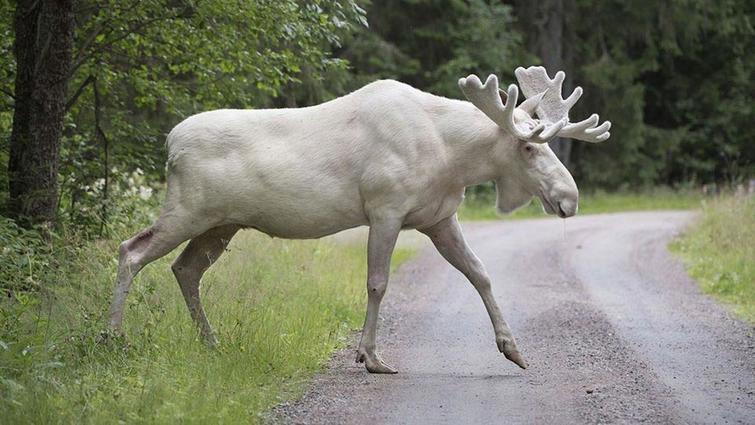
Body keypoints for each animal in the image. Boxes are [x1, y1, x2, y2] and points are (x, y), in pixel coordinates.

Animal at [109, 65, 612, 372]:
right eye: (528, 146)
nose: (569, 198)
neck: (452, 158)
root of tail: (170, 144)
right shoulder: (385, 208)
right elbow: (377, 283)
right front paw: (370, 357)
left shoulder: (439, 218)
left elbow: (481, 274)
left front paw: (513, 349)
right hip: (188, 210)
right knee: (131, 250)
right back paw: (113, 338)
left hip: (221, 224)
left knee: (185, 268)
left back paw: (210, 343)